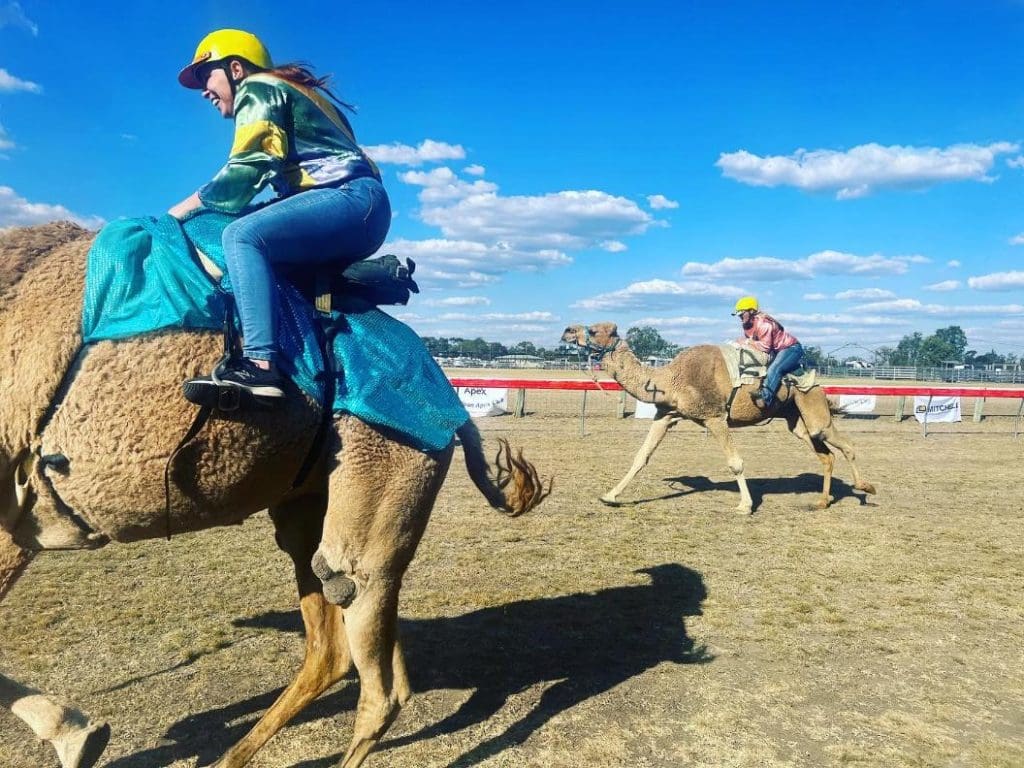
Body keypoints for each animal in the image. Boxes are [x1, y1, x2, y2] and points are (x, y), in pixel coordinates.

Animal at [0, 219, 552, 765]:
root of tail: (452, 403)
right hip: (309, 502)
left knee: (365, 639)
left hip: (385, 470)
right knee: (338, 640)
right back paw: (231, 757)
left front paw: (79, 736)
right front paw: (80, 735)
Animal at [561, 321, 872, 514]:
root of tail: (817, 381)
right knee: (826, 455)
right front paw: (610, 496)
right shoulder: (666, 415)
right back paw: (822, 502)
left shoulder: (714, 417)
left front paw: (745, 506)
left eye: (593, 330)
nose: (566, 331)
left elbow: (735, 462)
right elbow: (641, 456)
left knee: (844, 445)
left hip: (813, 408)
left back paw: (865, 487)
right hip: (795, 419)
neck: (670, 379)